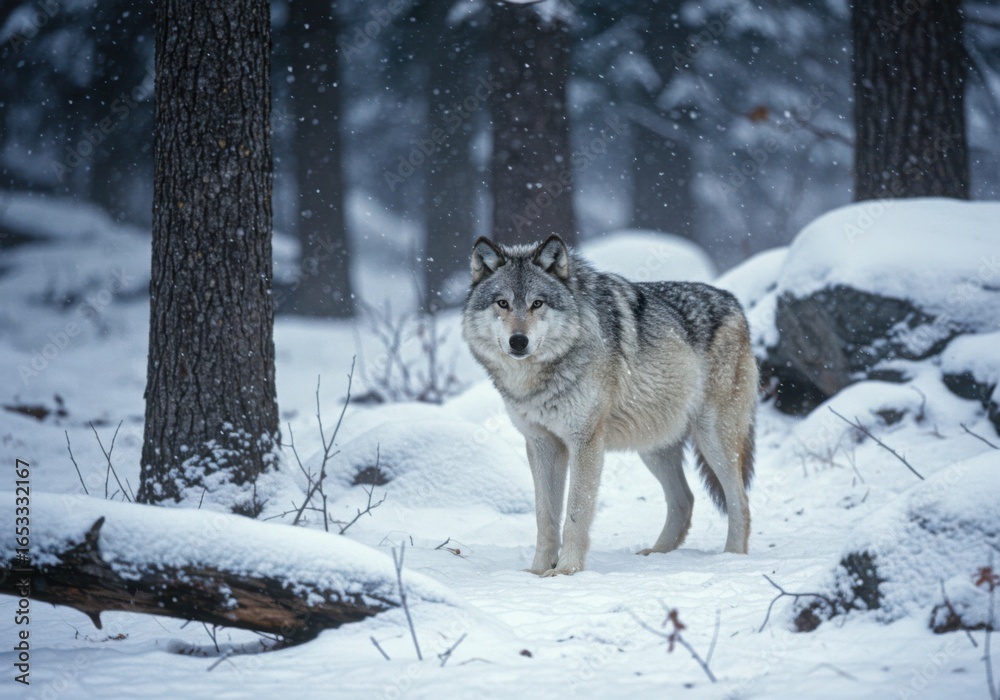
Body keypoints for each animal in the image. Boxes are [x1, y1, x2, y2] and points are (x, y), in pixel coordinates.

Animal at [461, 235, 757, 576]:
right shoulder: (541, 444)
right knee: (685, 500)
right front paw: (537, 570)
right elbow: (545, 517)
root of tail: (734, 303)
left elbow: (575, 514)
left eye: (537, 303)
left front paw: (566, 570)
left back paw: (731, 558)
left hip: (713, 440)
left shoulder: (585, 442)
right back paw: (656, 555)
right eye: (503, 303)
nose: (518, 341)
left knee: (740, 501)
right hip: (654, 447)